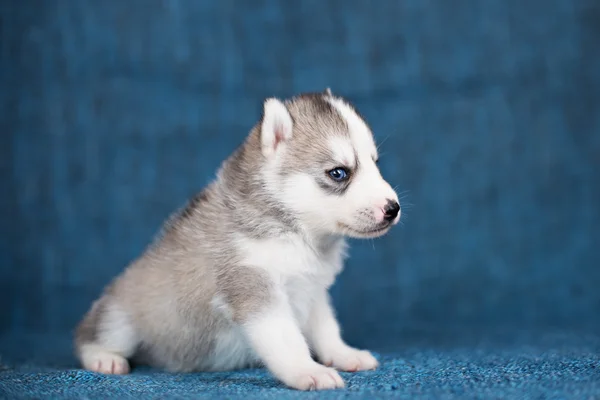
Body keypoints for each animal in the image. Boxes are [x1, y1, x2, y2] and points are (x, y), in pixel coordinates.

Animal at [76, 88, 404, 390]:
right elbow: (287, 339)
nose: (393, 208)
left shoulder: (312, 291)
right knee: (89, 335)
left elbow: (326, 329)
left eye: (375, 163)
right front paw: (307, 370)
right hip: (119, 316)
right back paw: (104, 358)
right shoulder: (254, 287)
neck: (298, 234)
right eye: (338, 173)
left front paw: (344, 354)